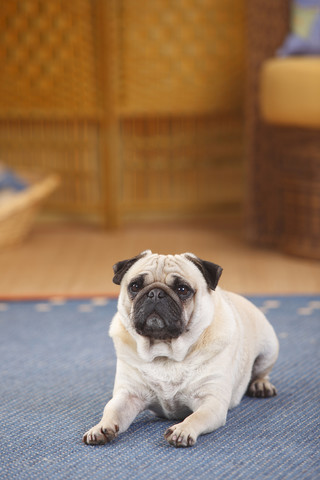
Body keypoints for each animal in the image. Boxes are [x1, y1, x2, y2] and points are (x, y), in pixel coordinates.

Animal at [82, 249, 278, 448]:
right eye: (135, 286)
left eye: (183, 289)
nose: (155, 293)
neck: (164, 351)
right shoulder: (128, 396)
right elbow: (111, 410)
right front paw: (100, 428)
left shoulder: (211, 401)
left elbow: (197, 417)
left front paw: (182, 430)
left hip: (269, 350)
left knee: (262, 372)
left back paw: (261, 385)